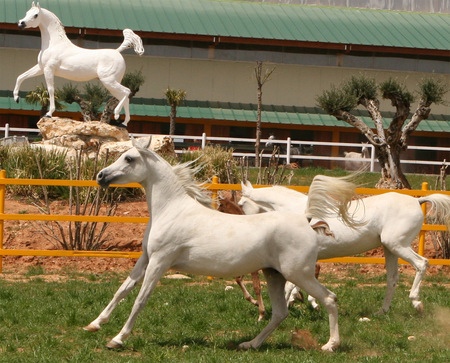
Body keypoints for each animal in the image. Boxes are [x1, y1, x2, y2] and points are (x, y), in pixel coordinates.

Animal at [14, 2, 144, 127]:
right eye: (27, 12)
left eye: (36, 15)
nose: (21, 23)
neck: (54, 44)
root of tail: (117, 52)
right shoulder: (41, 68)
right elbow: (21, 76)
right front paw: (16, 98)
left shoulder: (48, 70)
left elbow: (51, 89)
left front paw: (49, 113)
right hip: (112, 83)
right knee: (124, 97)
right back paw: (124, 123)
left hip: (109, 81)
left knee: (127, 92)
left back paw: (117, 115)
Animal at [82, 137, 360, 352]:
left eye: (129, 158)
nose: (100, 176)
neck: (171, 210)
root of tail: (306, 220)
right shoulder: (146, 258)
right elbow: (122, 290)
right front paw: (94, 324)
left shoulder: (161, 261)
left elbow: (140, 299)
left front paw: (117, 339)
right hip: (274, 275)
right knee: (280, 313)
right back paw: (250, 344)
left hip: (298, 273)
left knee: (329, 298)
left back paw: (330, 345)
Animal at [239, 182, 450, 316]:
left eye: (241, 204)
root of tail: (417, 201)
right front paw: (306, 303)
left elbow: (292, 284)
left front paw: (293, 303)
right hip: (390, 248)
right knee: (392, 279)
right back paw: (381, 312)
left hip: (397, 245)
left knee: (421, 264)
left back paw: (416, 302)